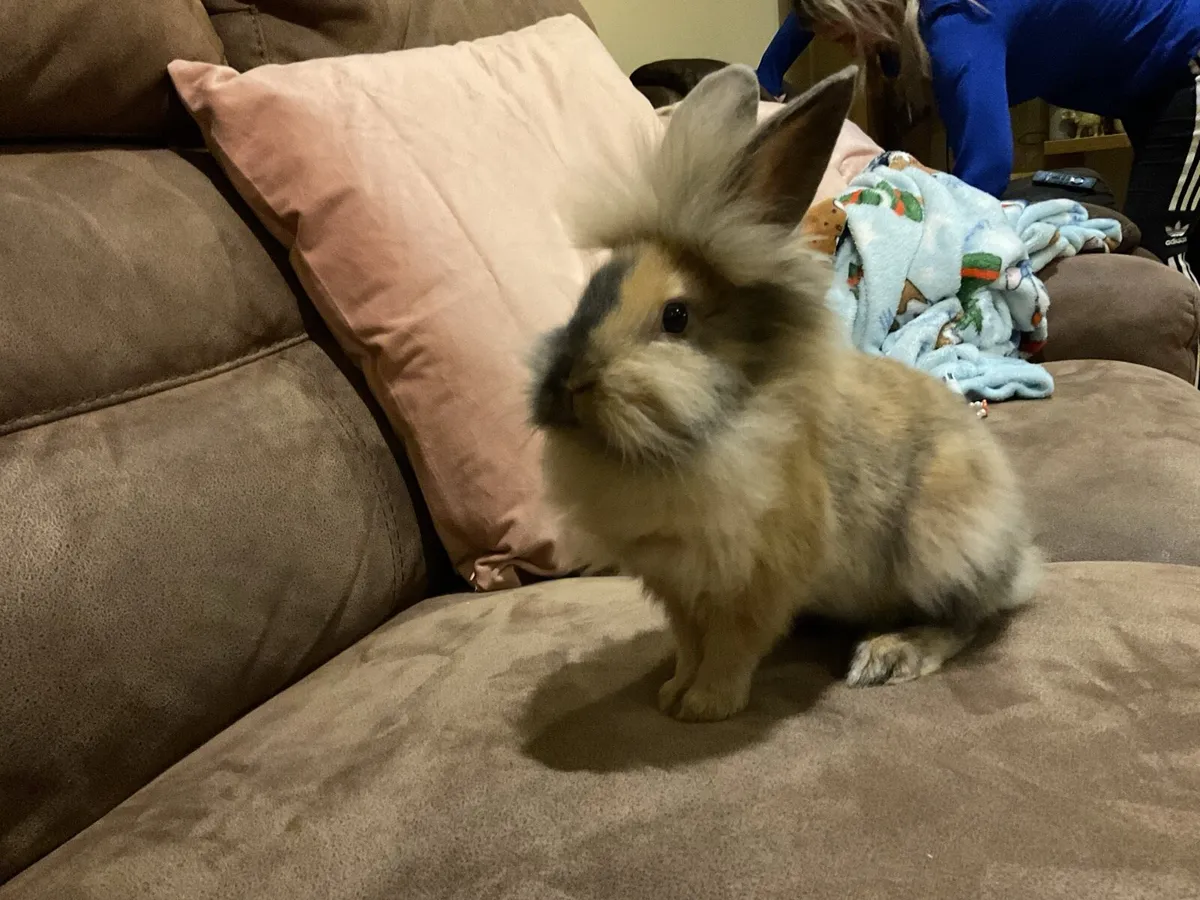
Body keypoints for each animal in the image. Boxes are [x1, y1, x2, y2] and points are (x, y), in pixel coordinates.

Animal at [528, 64, 1041, 722]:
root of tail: (1018, 559)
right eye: (586, 295)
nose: (567, 386)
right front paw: (672, 693)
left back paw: (887, 654)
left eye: (675, 317)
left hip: (943, 544)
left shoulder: (758, 579)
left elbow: (732, 645)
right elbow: (689, 644)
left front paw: (706, 707)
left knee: (966, 620)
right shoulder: (678, 588)